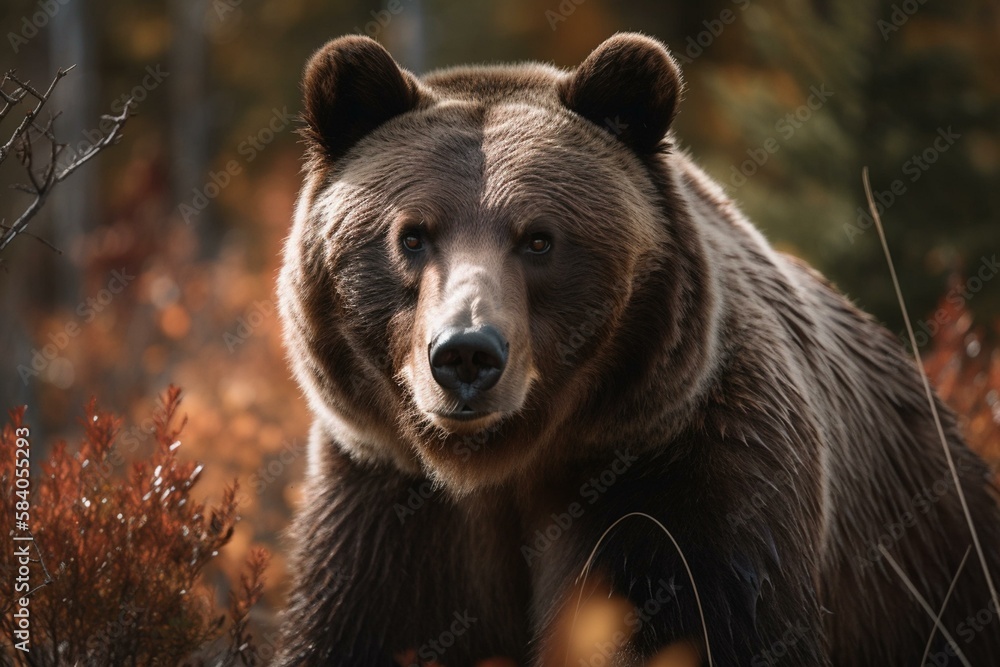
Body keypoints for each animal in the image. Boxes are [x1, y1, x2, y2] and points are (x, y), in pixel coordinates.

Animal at [275, 32, 1000, 666]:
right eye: (412, 235)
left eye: (539, 238)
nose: (467, 355)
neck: (506, 464)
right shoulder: (391, 510)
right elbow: (361, 627)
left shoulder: (680, 476)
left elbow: (699, 624)